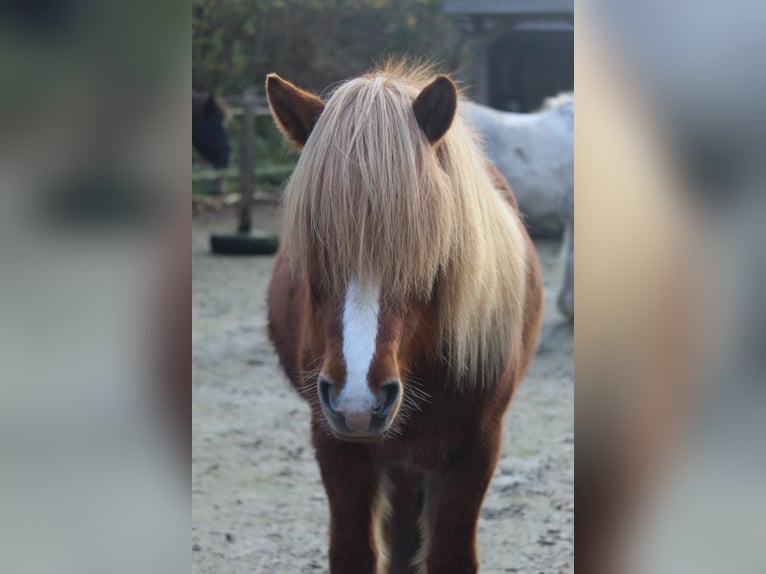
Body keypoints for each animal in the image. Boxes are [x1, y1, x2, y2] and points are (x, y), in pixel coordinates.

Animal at [265, 62, 544, 574]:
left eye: (428, 247)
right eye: (313, 241)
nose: (357, 403)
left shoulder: (476, 452)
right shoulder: (337, 450)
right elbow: (354, 553)